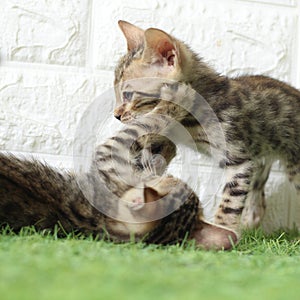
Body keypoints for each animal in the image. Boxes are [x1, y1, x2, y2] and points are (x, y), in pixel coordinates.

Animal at [113, 20, 300, 232]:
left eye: (128, 95)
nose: (116, 115)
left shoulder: (239, 159)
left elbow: (230, 201)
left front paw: (222, 229)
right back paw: (252, 217)